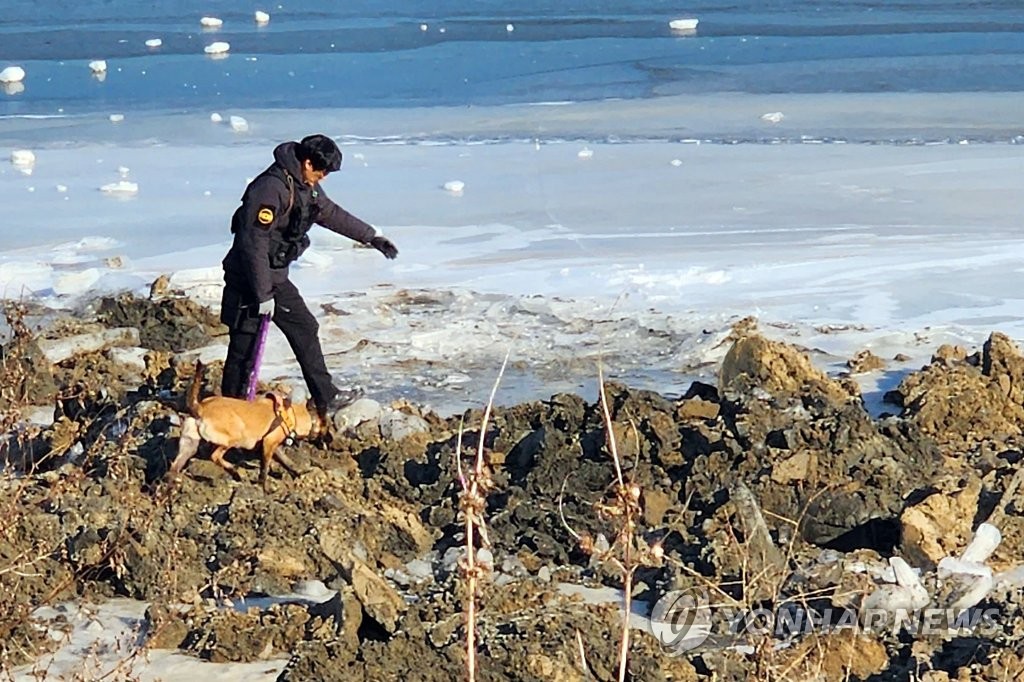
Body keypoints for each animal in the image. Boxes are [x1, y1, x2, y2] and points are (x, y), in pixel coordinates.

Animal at [169, 360, 325, 489]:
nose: (326, 443)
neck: (291, 413)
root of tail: (200, 407)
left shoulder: (272, 445)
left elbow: (286, 461)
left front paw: (298, 471)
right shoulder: (268, 444)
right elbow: (265, 467)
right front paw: (263, 485)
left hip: (188, 445)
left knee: (174, 467)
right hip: (233, 436)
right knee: (215, 456)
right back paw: (234, 471)